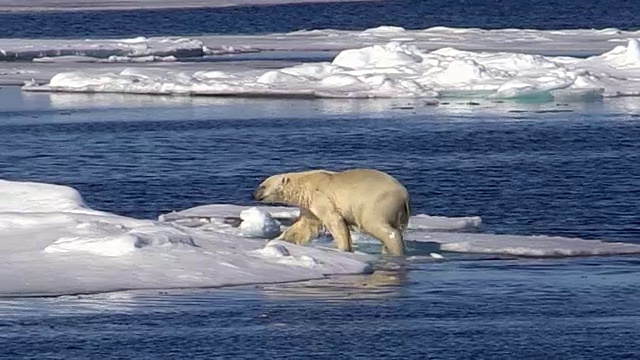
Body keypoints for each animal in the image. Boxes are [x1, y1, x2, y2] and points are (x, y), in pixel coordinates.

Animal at [251, 169, 410, 256]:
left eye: (262, 186)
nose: (254, 194)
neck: (306, 183)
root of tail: (404, 195)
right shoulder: (309, 204)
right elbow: (306, 225)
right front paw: (278, 240)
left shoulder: (321, 197)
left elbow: (335, 221)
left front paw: (343, 249)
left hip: (376, 203)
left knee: (378, 226)